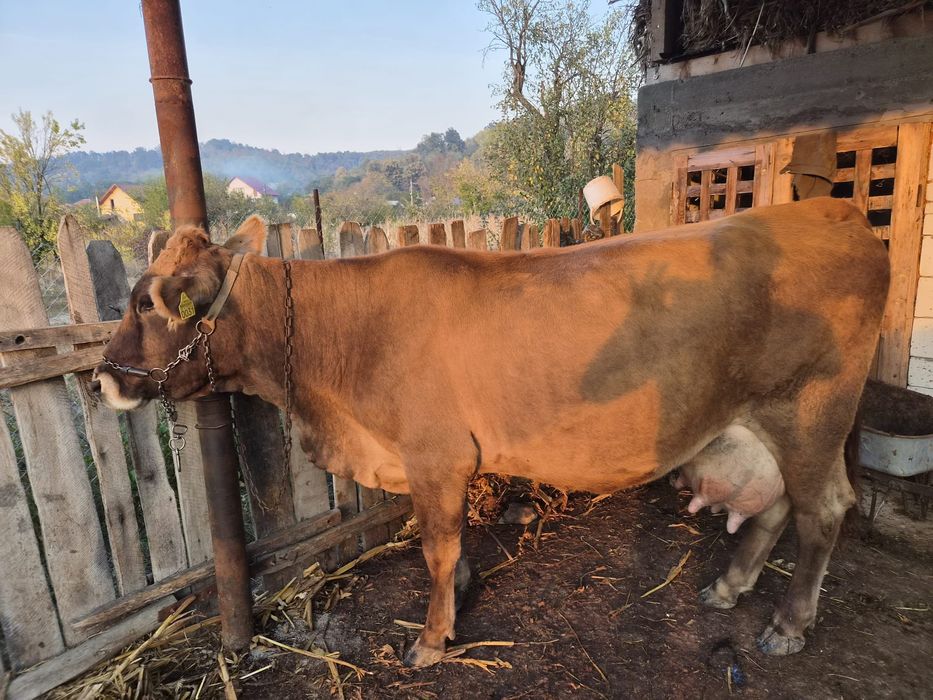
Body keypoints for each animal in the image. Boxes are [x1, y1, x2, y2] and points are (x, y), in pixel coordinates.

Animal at [93, 197, 889, 667]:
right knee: (778, 504)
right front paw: (464, 594)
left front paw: (431, 639)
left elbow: (435, 549)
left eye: (144, 301)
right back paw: (728, 586)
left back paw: (788, 624)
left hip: (811, 410)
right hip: (763, 423)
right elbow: (448, 542)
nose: (101, 378)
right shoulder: (438, 463)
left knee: (822, 511)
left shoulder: (434, 454)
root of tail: (834, 212)